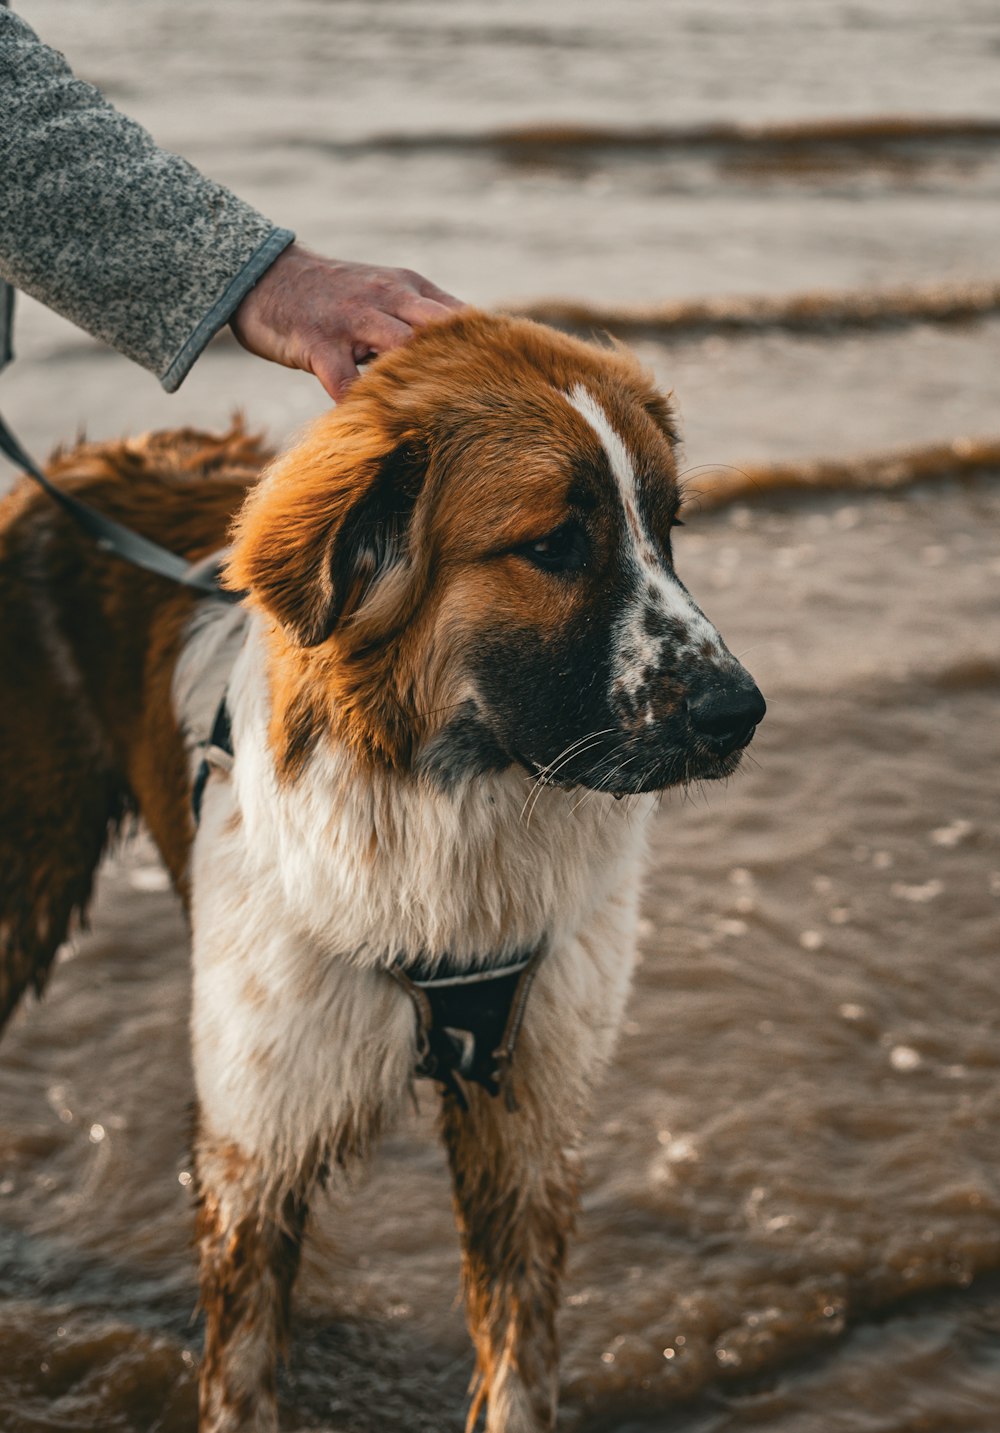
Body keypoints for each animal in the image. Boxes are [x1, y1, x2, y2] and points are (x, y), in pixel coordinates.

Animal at [1, 316, 762, 1433]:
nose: (739, 713)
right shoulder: (257, 1136)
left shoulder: (525, 1121)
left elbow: (517, 1366)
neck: (450, 821)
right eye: (553, 545)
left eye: (667, 529)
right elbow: (240, 1375)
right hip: (27, 876)